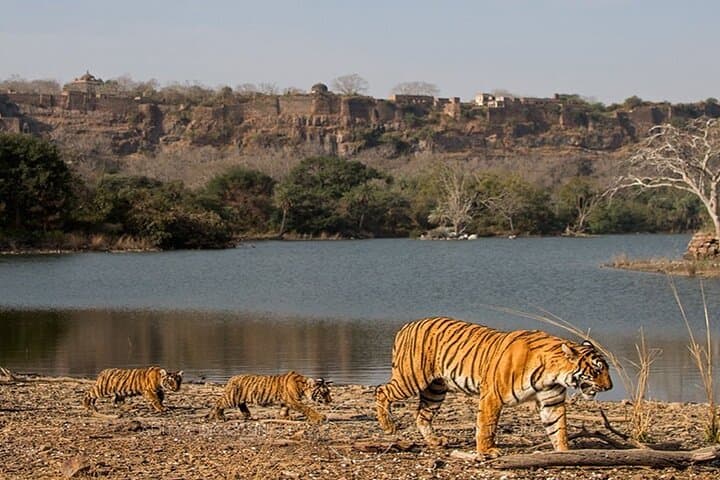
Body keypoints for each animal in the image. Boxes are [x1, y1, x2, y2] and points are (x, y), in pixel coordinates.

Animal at [375, 316, 612, 457]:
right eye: (597, 370)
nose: (610, 387)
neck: (553, 375)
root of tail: (406, 325)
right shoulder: (492, 395)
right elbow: (487, 425)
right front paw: (488, 450)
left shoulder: (551, 402)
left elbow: (558, 428)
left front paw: (564, 452)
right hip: (411, 379)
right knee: (381, 391)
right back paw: (388, 426)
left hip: (435, 389)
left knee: (421, 415)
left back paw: (435, 440)